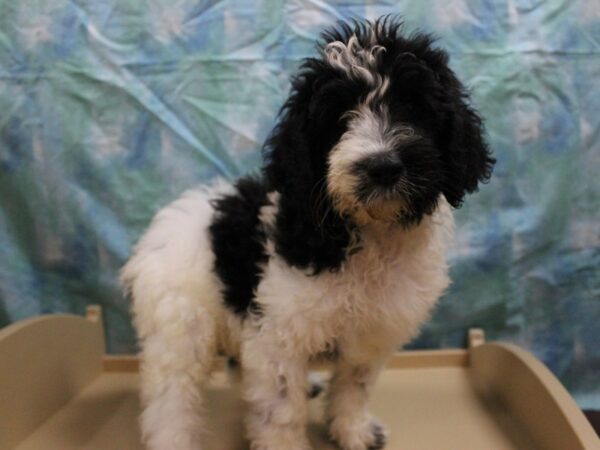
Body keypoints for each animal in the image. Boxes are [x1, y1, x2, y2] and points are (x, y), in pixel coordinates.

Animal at [120, 15, 492, 450]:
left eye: (414, 109)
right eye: (339, 118)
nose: (382, 166)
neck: (368, 231)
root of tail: (166, 221)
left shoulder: (371, 335)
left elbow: (354, 386)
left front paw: (353, 430)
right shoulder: (277, 335)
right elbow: (281, 408)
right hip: (179, 324)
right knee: (171, 395)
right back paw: (175, 437)